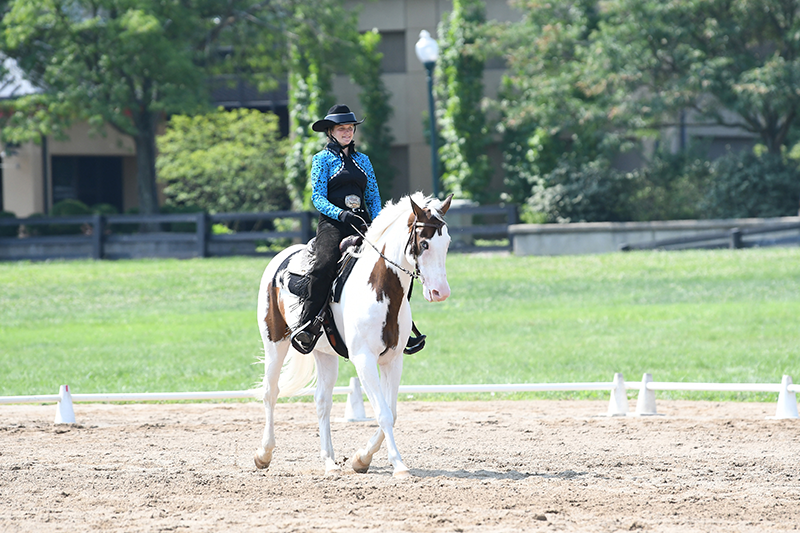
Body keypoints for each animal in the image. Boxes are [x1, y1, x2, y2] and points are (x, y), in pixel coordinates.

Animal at [258, 193, 456, 476]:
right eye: (424, 243)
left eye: (447, 242)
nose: (441, 292)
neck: (381, 289)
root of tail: (282, 257)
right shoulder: (364, 359)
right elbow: (383, 413)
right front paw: (398, 465)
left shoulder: (393, 360)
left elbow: (392, 412)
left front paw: (361, 458)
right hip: (274, 343)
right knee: (270, 392)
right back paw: (263, 454)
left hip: (324, 353)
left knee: (322, 401)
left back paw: (330, 462)